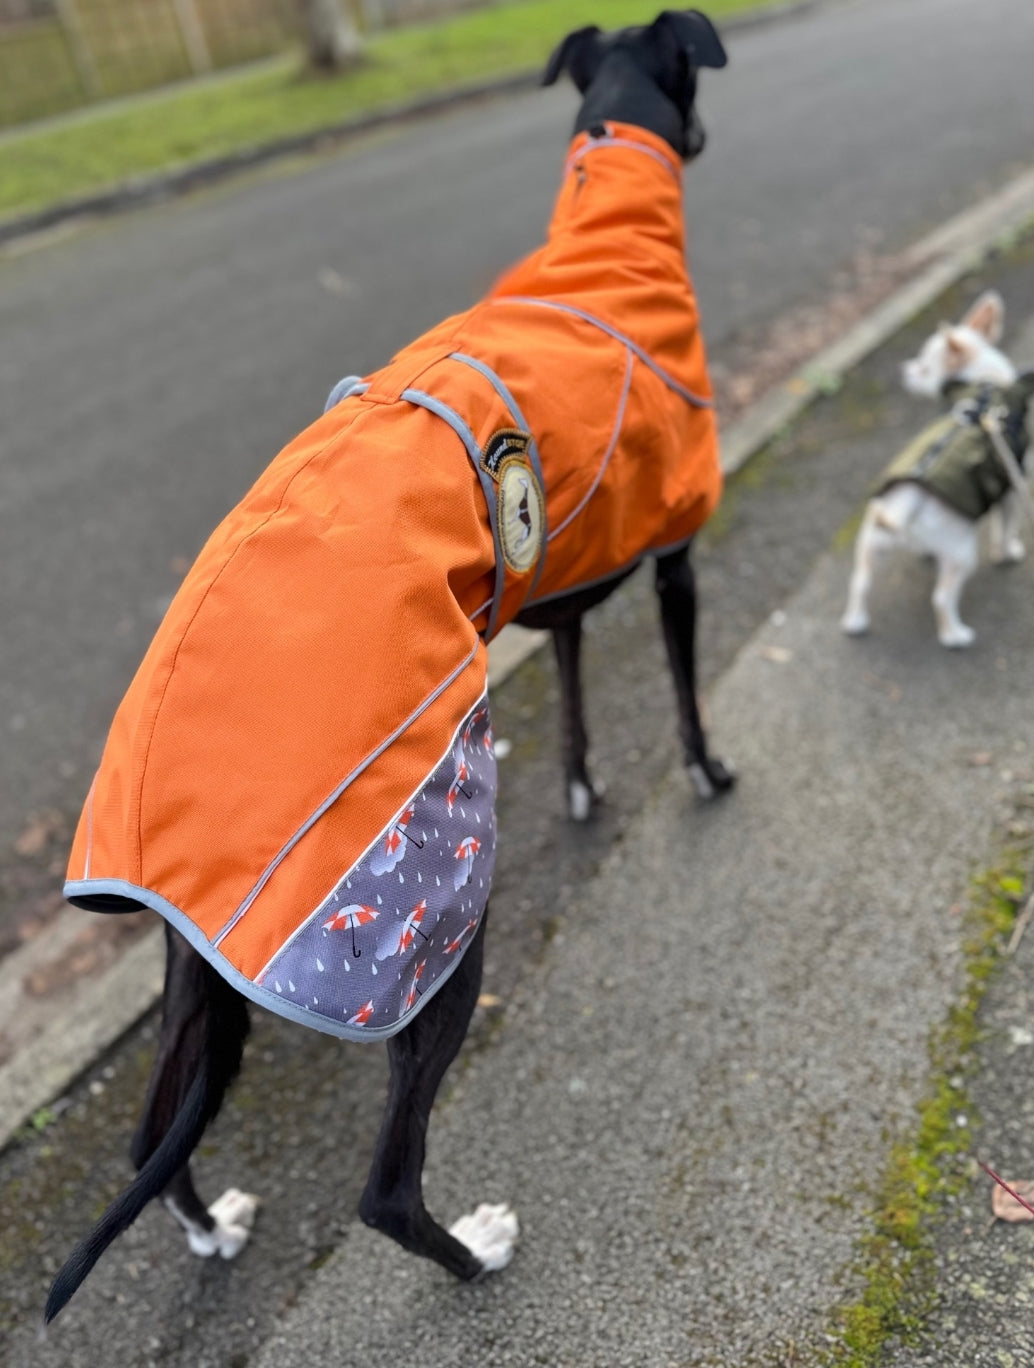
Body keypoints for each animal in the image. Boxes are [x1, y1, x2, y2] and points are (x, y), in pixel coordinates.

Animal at [842, 294, 1034, 645]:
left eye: (922, 367)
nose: (903, 369)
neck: (984, 390)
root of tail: (907, 500)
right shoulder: (1012, 488)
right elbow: (1006, 528)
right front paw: (1008, 553)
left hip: (873, 540)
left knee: (860, 583)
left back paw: (856, 621)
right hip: (962, 554)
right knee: (942, 599)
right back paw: (956, 636)